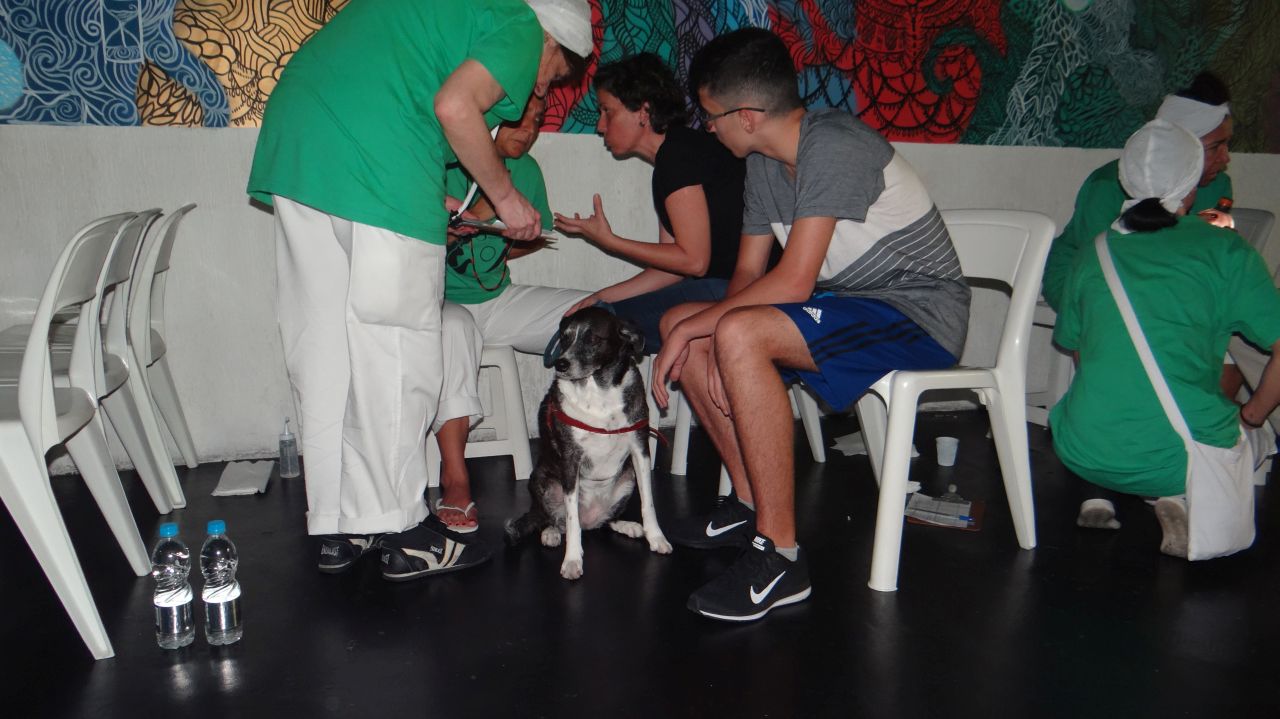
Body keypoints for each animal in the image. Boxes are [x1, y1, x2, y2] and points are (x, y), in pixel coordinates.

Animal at [503, 307, 672, 579]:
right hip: (540, 480)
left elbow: (649, 501)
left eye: (593, 339)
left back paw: (627, 526)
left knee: (606, 522)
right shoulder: (570, 460)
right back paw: (551, 532)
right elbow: (572, 520)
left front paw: (656, 537)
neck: (598, 391)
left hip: (627, 478)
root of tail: (590, 521)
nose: (561, 364)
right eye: (564, 338)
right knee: (553, 519)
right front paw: (572, 560)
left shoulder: (640, 450)